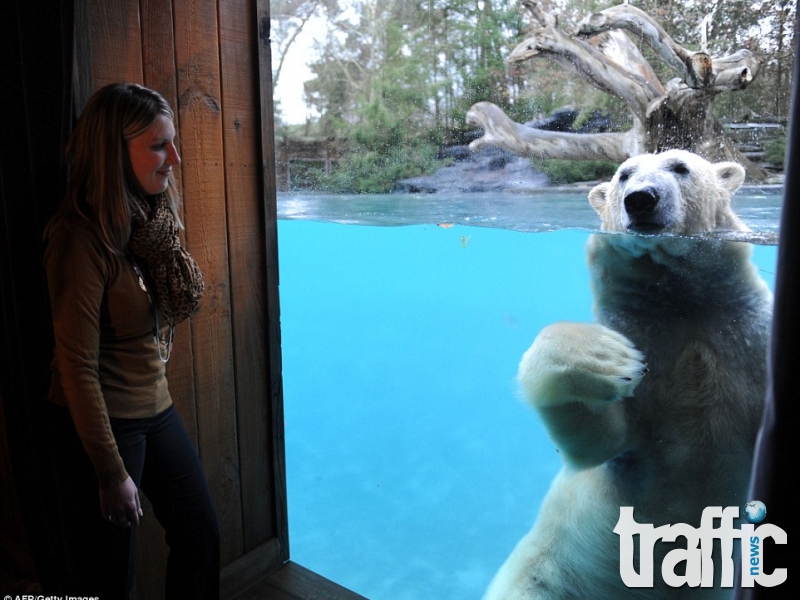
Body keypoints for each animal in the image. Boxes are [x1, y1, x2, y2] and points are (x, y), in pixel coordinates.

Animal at [484, 151, 772, 600]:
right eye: (623, 175)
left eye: (680, 167)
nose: (641, 199)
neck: (682, 304)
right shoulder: (643, 339)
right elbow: (597, 440)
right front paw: (609, 358)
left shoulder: (746, 338)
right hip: (547, 575)